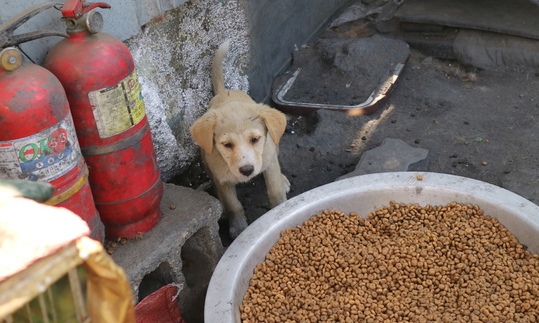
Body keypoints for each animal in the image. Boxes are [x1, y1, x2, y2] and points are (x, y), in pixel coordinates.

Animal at [190, 40, 292, 240]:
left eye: (255, 139)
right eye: (227, 145)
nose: (247, 170)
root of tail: (224, 91)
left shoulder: (269, 163)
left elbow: (275, 190)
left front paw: (280, 210)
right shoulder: (222, 180)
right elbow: (233, 205)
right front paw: (238, 227)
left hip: (273, 147)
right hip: (206, 160)